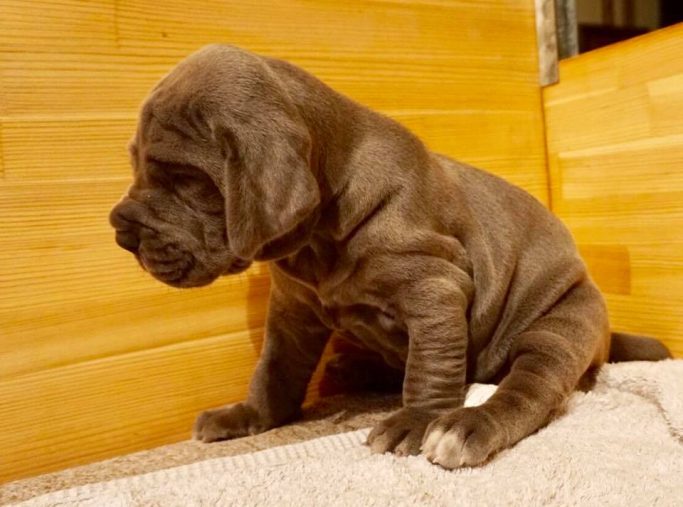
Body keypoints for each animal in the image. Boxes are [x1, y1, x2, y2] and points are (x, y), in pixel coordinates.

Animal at [109, 45, 672, 470]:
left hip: (561, 322)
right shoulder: (292, 310)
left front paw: (416, 420)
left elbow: (430, 365)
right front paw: (248, 413)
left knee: (529, 389)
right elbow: (274, 369)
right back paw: (351, 369)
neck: (321, 233)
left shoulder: (436, 287)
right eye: (134, 163)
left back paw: (465, 425)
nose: (119, 230)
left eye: (183, 179)